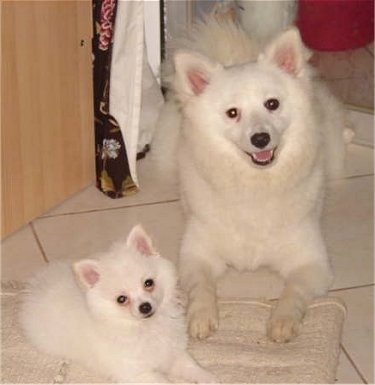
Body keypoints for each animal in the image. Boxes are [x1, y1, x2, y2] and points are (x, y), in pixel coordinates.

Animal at [19, 225, 214, 380]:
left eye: (148, 283)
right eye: (122, 299)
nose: (145, 307)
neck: (146, 327)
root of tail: (37, 284)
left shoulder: (174, 354)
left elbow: (193, 368)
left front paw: (210, 378)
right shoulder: (138, 373)